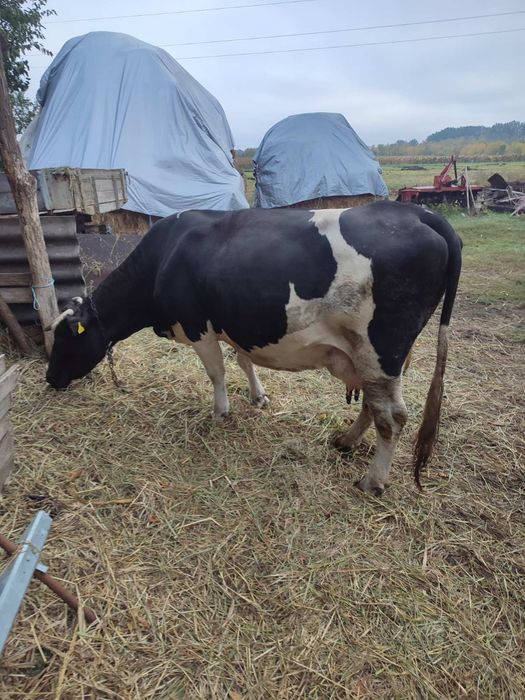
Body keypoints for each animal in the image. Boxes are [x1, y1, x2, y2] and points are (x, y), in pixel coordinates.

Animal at [46, 201, 462, 495]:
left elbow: (216, 372)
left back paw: (373, 482)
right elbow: (244, 362)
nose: (50, 379)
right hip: (378, 356)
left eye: (66, 337)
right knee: (374, 406)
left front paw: (219, 413)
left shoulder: (198, 326)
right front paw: (257, 397)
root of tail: (418, 213)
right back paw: (345, 441)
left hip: (379, 348)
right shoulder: (234, 323)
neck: (164, 256)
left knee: (392, 416)